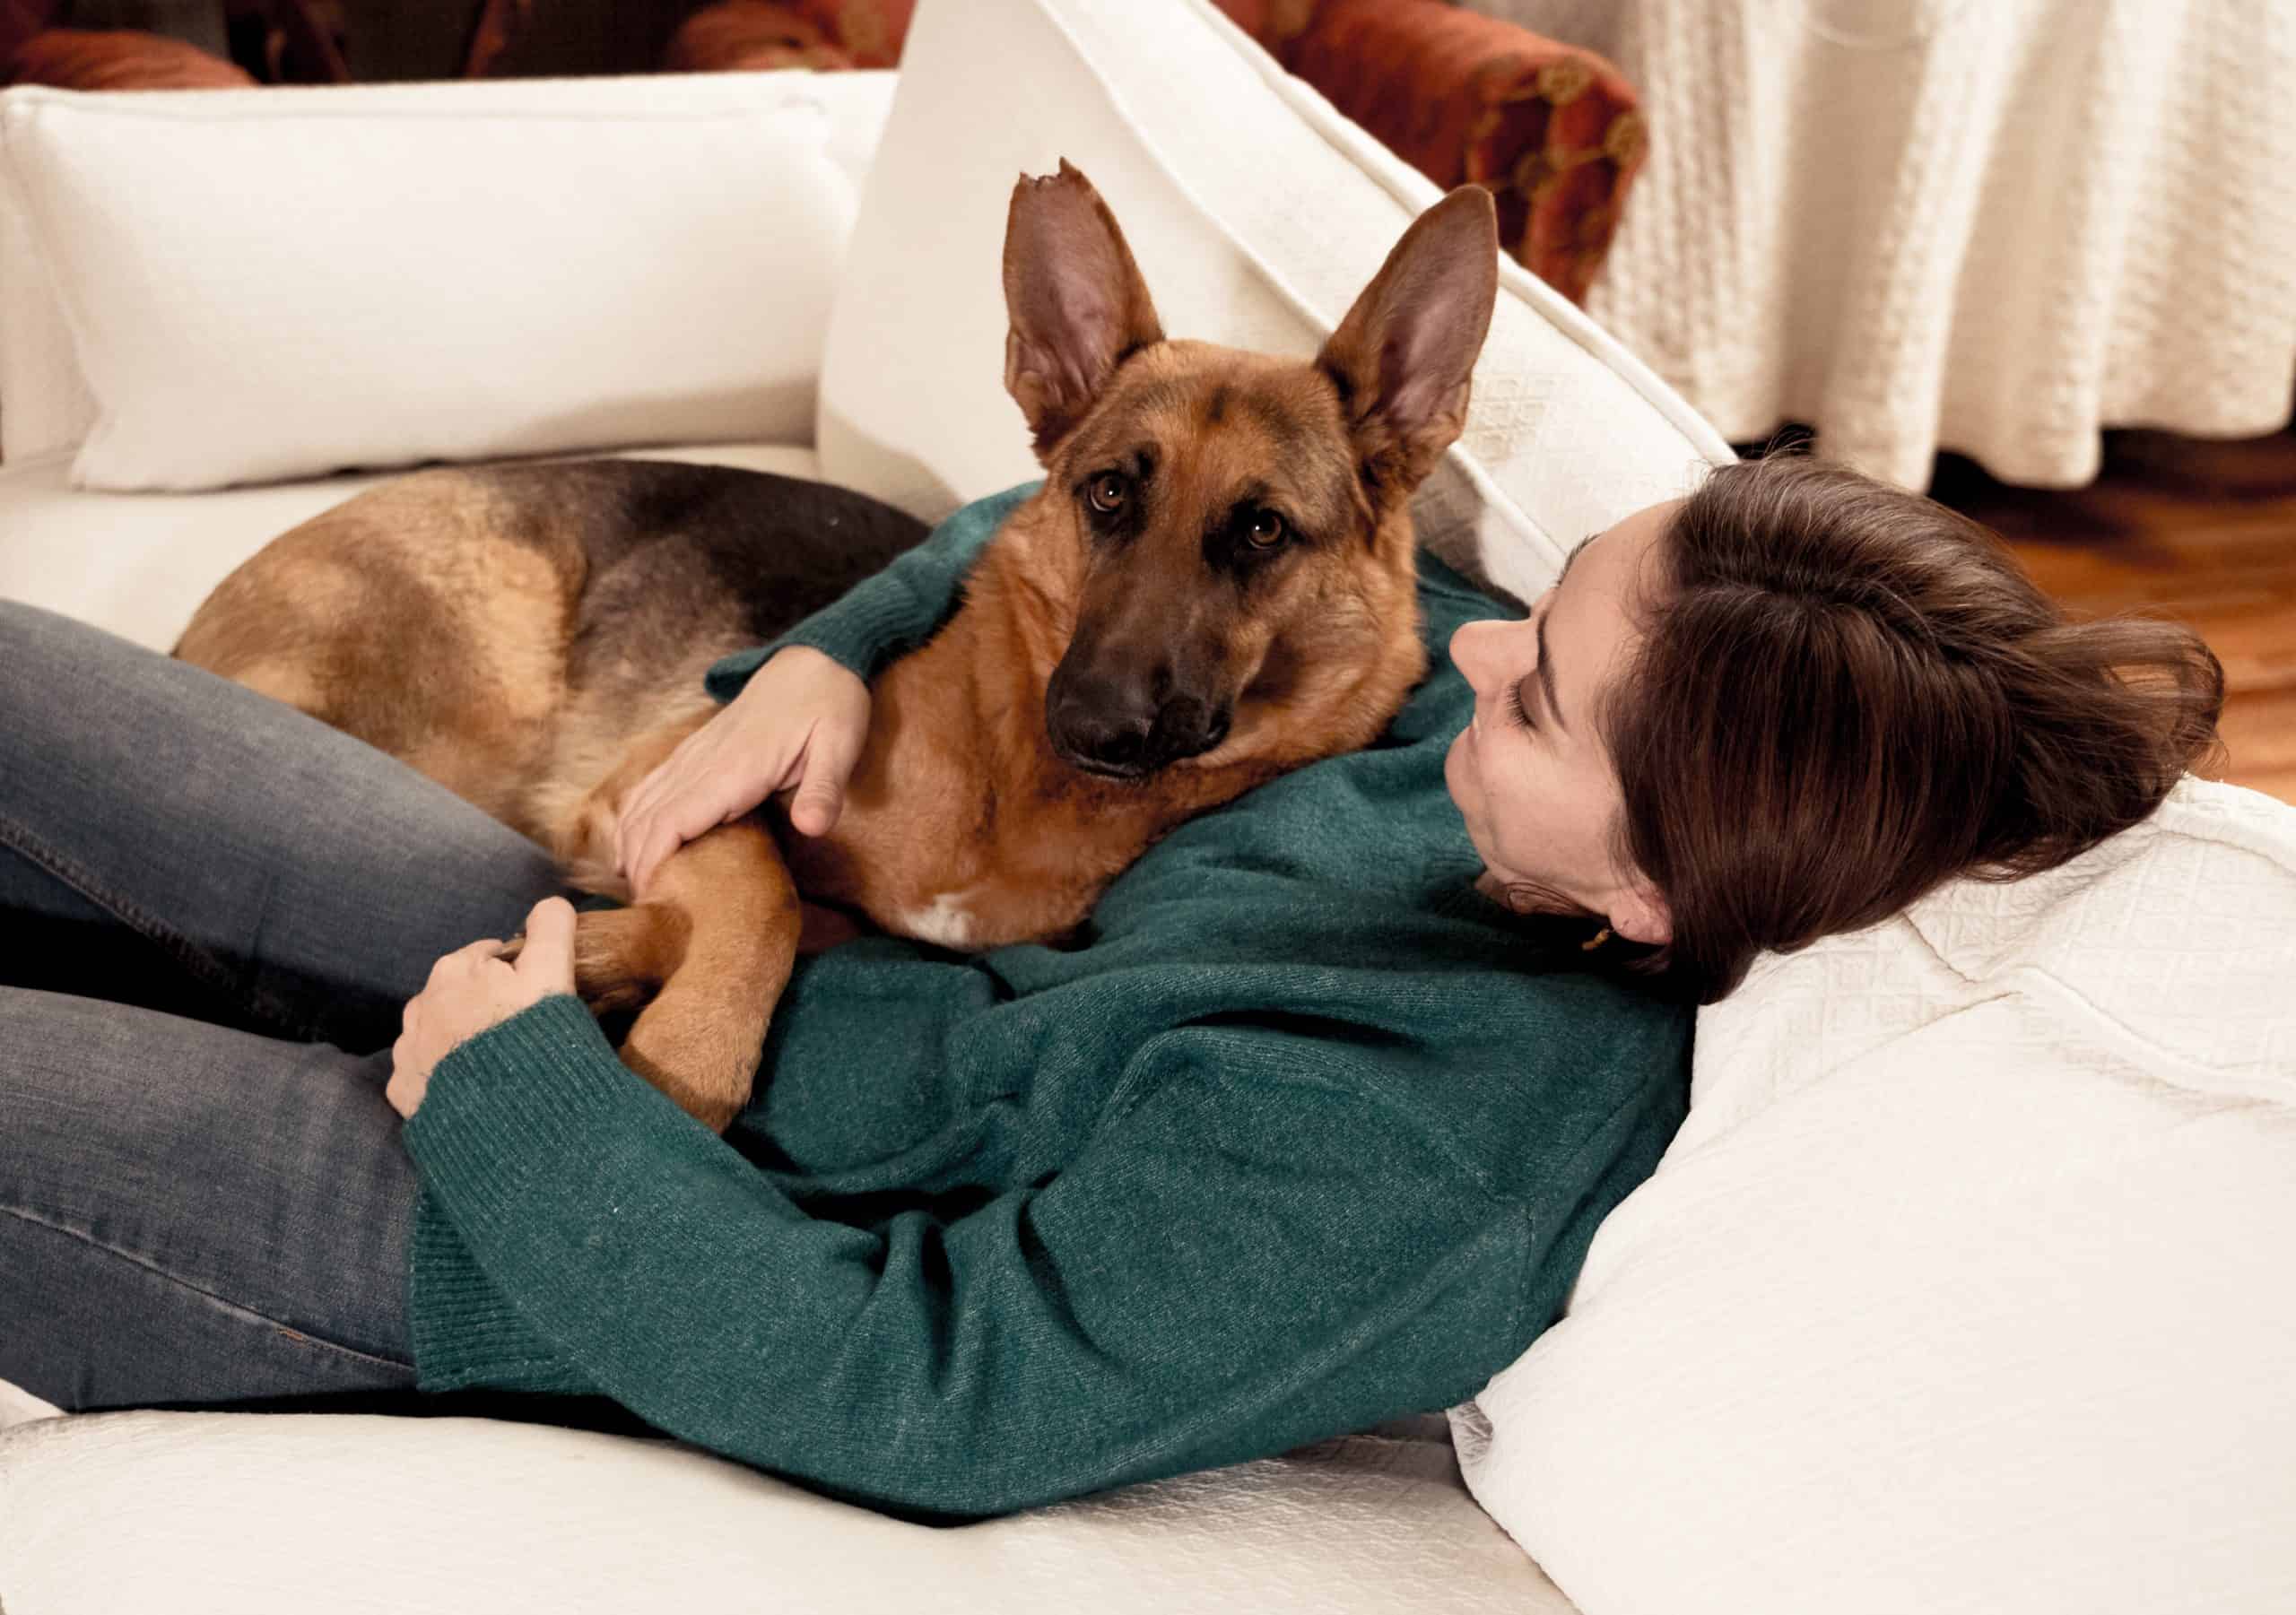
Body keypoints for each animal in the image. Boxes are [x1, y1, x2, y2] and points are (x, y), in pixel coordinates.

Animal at [183, 161, 1506, 1124]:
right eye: (1107, 496)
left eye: (1263, 530)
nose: (1090, 722)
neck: (1015, 792)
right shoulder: (666, 791)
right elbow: (762, 902)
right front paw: (682, 1069)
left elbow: (749, 916)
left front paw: (592, 967)